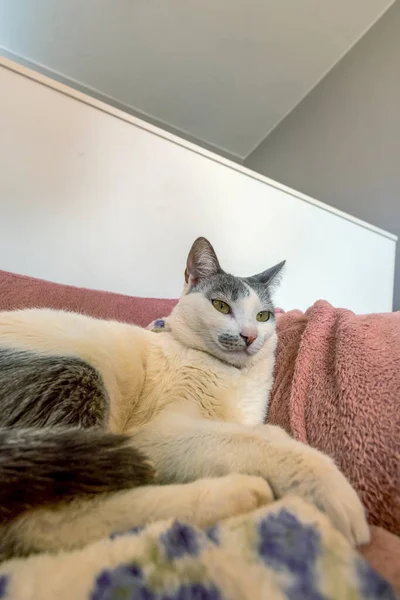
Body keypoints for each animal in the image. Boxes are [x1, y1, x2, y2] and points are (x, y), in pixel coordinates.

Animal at [0, 236, 370, 556]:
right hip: (77, 382)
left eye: (263, 316)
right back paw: (237, 494)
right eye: (221, 305)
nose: (249, 336)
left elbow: (267, 432)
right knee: (42, 523)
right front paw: (330, 489)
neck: (235, 376)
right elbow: (255, 442)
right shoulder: (155, 434)